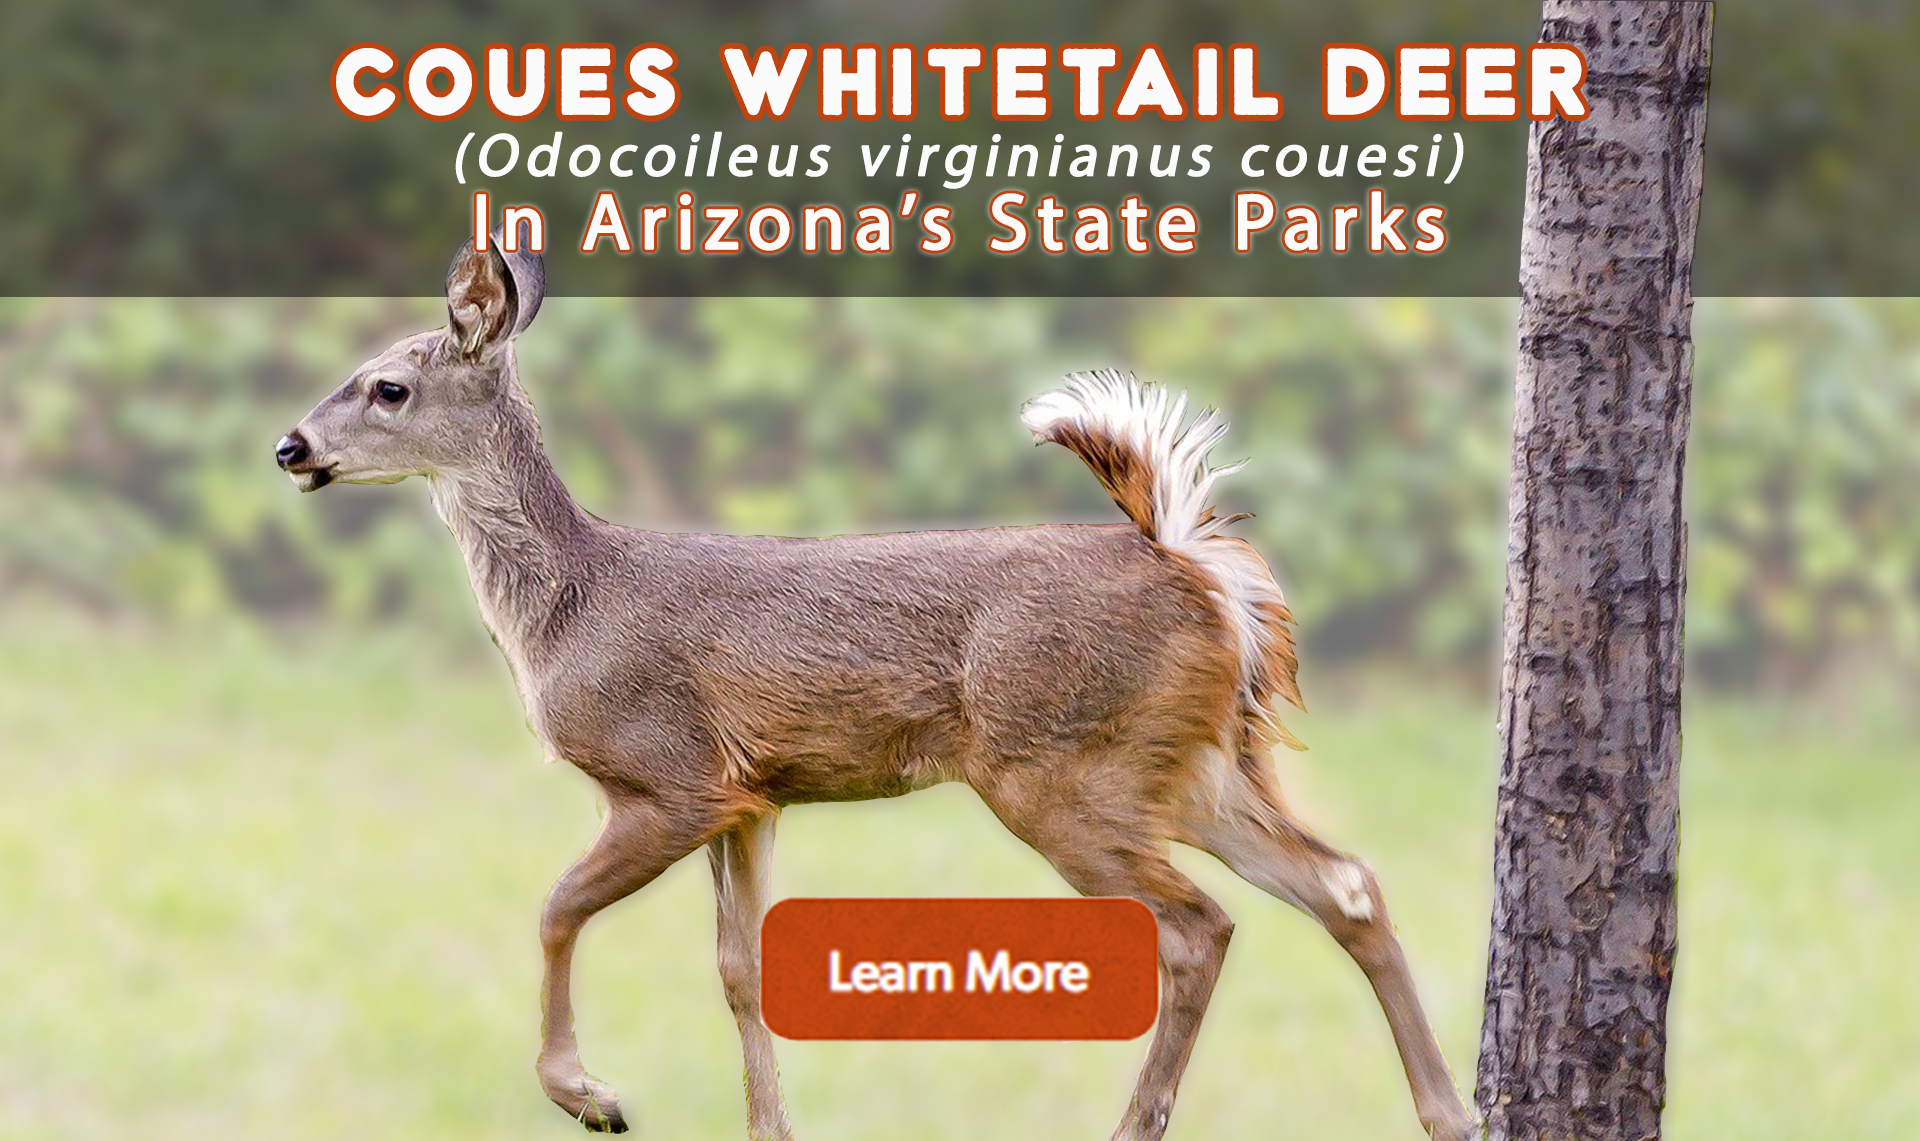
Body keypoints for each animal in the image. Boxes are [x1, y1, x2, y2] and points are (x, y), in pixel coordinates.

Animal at [272, 231, 1480, 1141]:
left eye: (388, 386)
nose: (289, 447)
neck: (568, 606)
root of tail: (1197, 564)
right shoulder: (752, 795)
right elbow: (741, 969)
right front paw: (768, 1128)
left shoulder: (669, 775)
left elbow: (556, 905)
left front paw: (589, 1095)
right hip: (1197, 762)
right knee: (1346, 883)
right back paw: (1448, 1112)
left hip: (1057, 767)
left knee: (1201, 926)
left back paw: (1137, 1125)